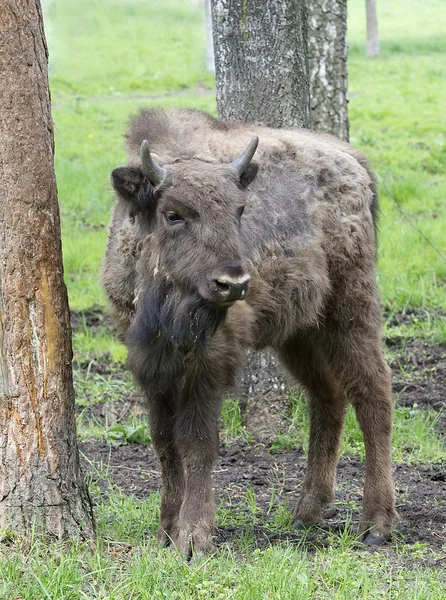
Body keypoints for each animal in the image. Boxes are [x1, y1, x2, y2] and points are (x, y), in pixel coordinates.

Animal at [103, 108, 396, 556]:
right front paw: (166, 531)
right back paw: (306, 512)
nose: (234, 283)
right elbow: (164, 442)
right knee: (327, 396)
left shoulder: (209, 360)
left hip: (349, 311)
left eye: (239, 211)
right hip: (299, 334)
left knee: (372, 393)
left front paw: (193, 537)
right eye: (173, 213)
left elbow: (196, 441)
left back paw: (376, 524)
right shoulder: (148, 362)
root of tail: (353, 161)